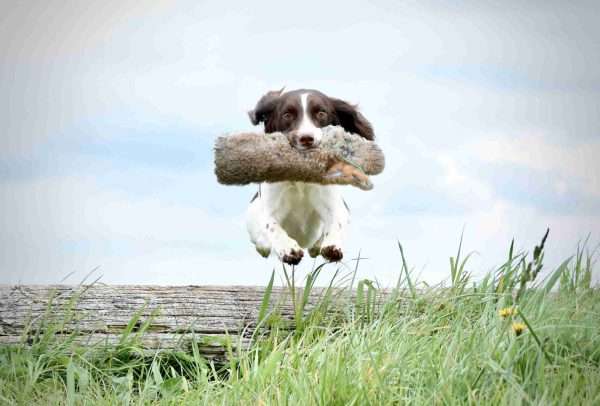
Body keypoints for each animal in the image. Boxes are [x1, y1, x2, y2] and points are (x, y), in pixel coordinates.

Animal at [246, 88, 372, 264]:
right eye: (287, 115)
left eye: (321, 113)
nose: (306, 138)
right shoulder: (267, 207)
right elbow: (271, 224)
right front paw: (289, 249)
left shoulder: (334, 202)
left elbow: (337, 220)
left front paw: (332, 247)